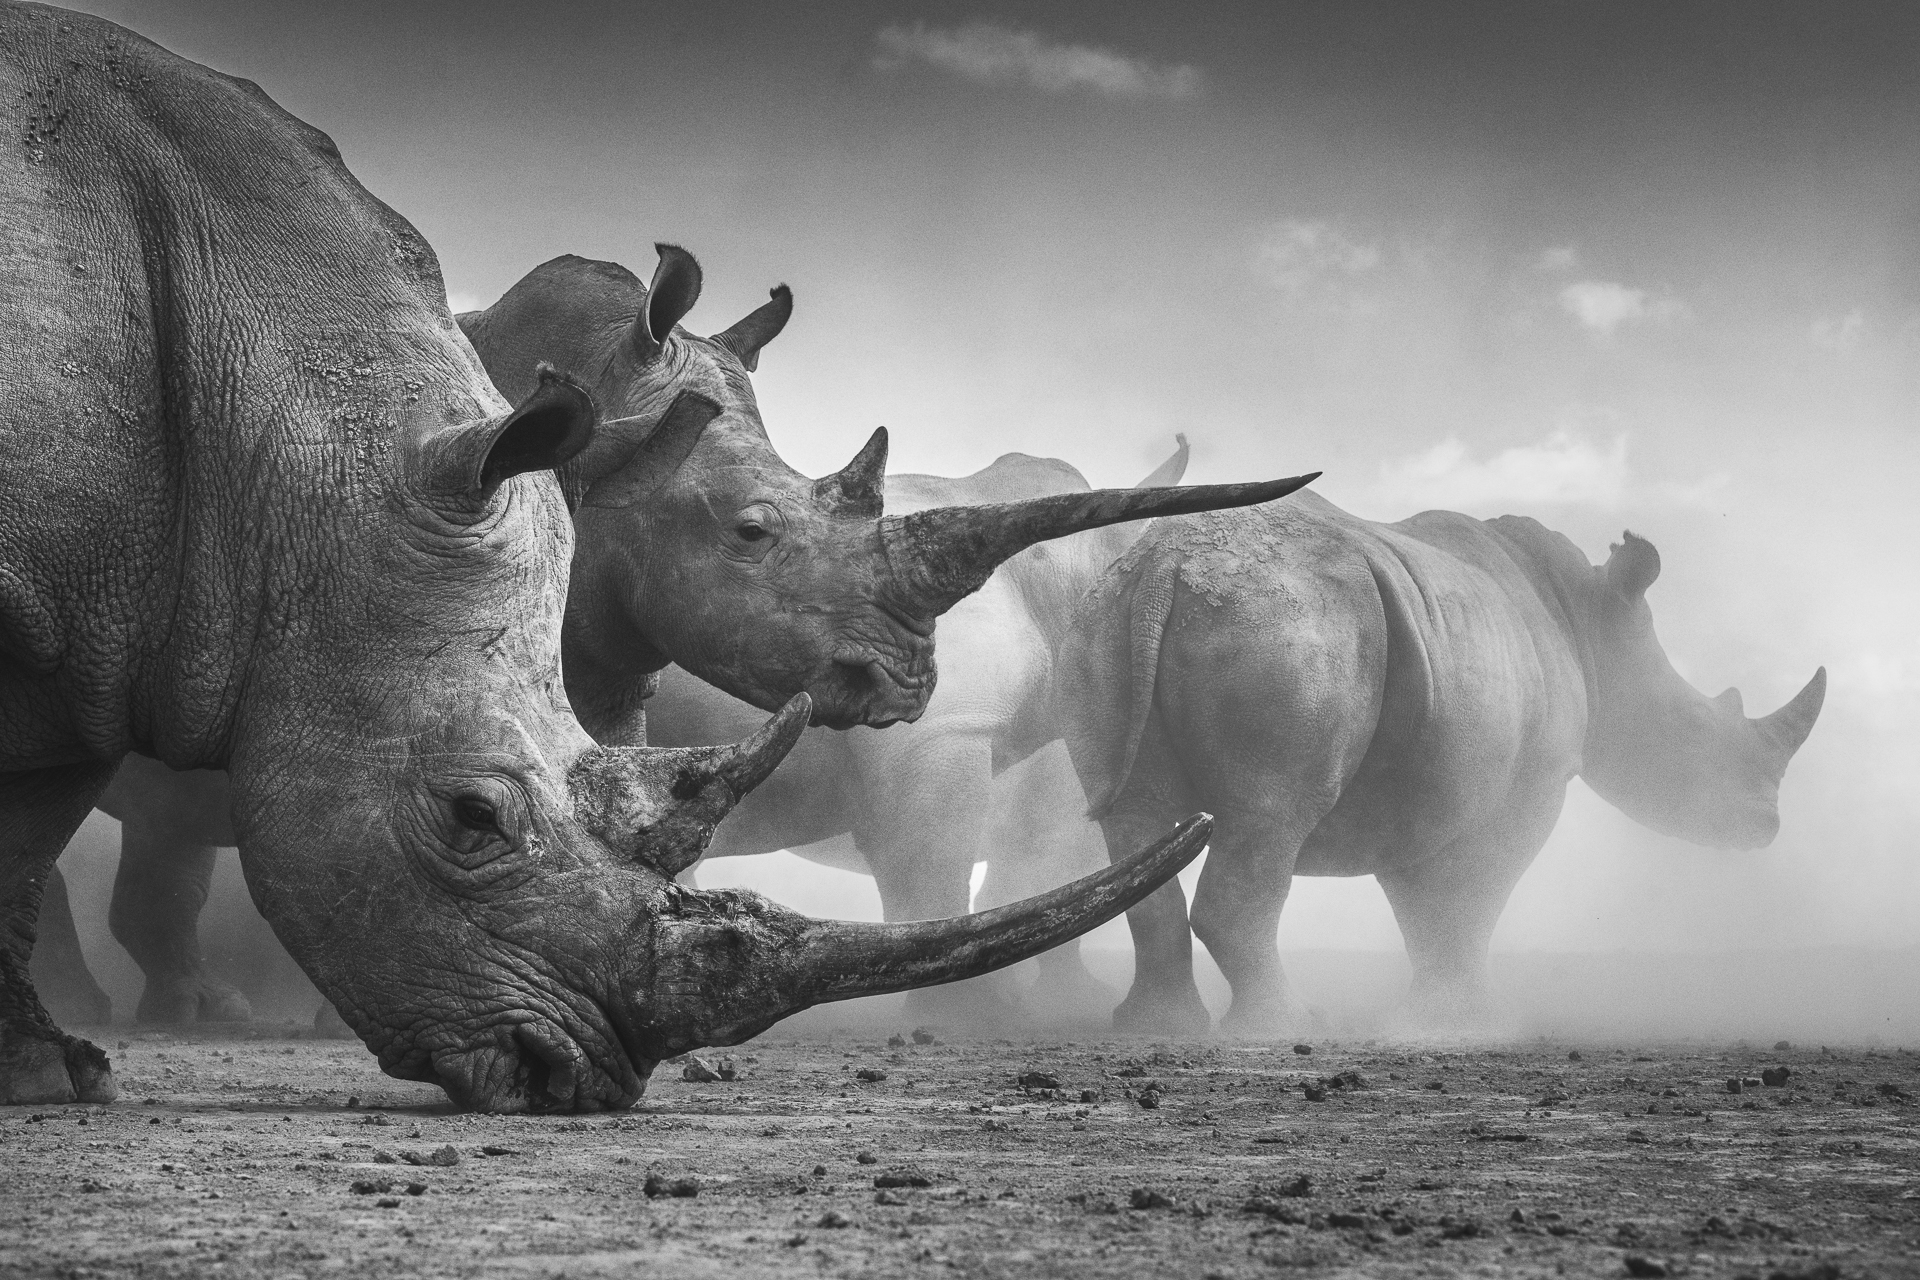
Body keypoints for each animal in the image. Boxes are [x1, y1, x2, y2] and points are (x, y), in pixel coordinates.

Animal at [1058, 493, 1826, 1033]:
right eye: (1700, 731)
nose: (1765, 826)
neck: (1592, 627)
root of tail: (1164, 570)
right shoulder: (1532, 786)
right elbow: (1471, 900)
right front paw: (1478, 1026)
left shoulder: (1428, 781)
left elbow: (1425, 909)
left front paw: (1429, 1020)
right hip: (1287, 628)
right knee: (1272, 815)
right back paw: (1284, 1029)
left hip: (1108, 625)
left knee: (1136, 828)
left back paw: (1156, 1029)